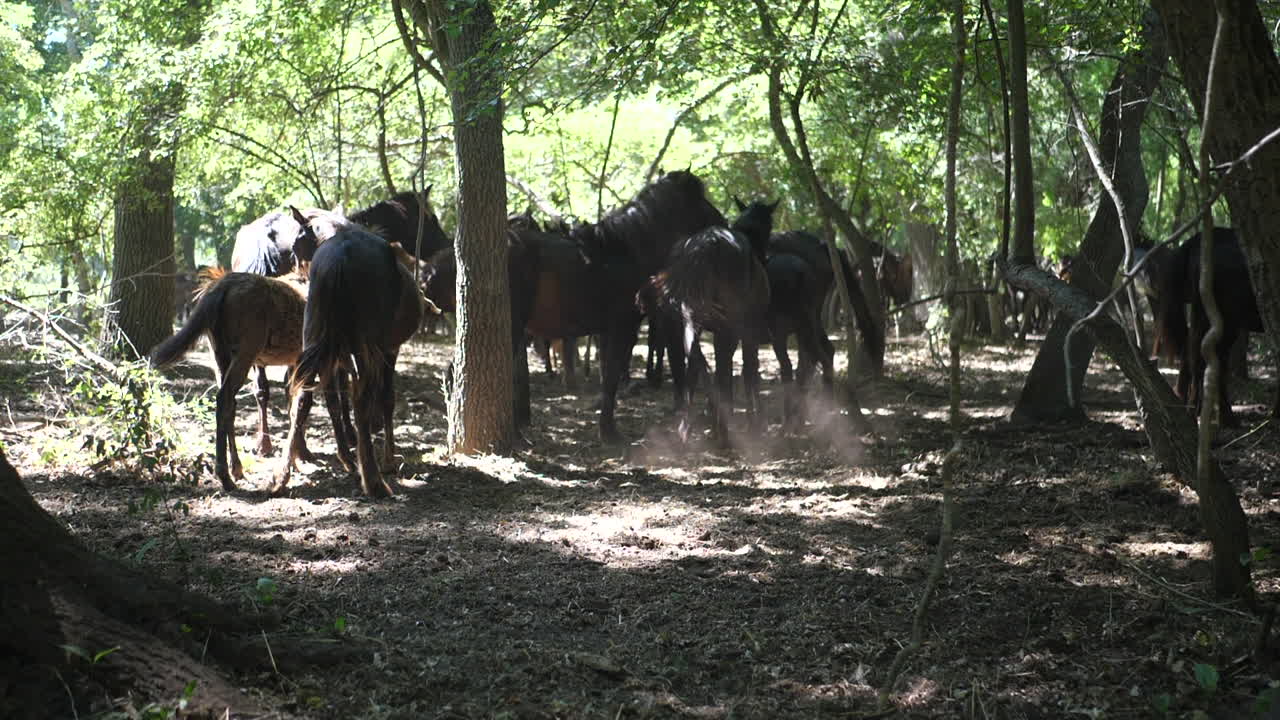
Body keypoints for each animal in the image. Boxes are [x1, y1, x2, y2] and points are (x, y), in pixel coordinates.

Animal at [150, 268, 348, 492]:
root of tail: (220, 288)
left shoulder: (297, 361)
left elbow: (295, 404)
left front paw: (297, 459)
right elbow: (324, 404)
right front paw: (343, 458)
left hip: (220, 354)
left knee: (230, 404)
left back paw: (236, 468)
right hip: (245, 351)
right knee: (225, 398)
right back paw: (225, 475)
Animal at [271, 211, 429, 497]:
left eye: (298, 242)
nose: (295, 268)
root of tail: (341, 256)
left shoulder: (338, 356)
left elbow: (334, 399)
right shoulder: (389, 350)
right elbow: (385, 398)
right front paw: (388, 459)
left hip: (316, 339)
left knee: (302, 396)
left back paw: (282, 475)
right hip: (369, 344)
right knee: (361, 396)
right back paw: (374, 479)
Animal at [1153, 227, 1264, 427]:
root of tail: (1194, 242)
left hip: (1221, 324)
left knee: (1203, 359)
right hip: (1215, 319)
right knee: (1199, 359)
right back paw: (1199, 413)